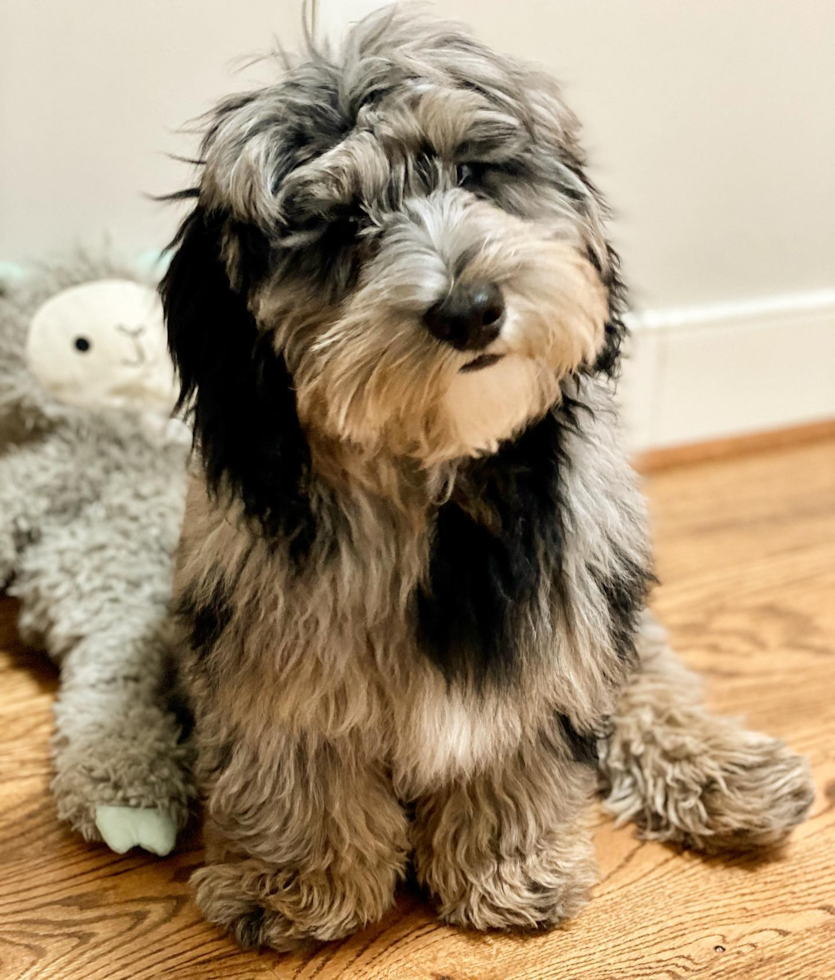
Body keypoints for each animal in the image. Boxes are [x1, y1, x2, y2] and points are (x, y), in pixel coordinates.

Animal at [158, 5, 816, 948]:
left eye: (474, 172)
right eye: (342, 226)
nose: (470, 309)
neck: (431, 474)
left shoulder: (551, 614)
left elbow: (520, 738)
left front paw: (506, 868)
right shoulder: (269, 627)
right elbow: (293, 749)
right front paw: (297, 880)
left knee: (643, 672)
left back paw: (724, 770)